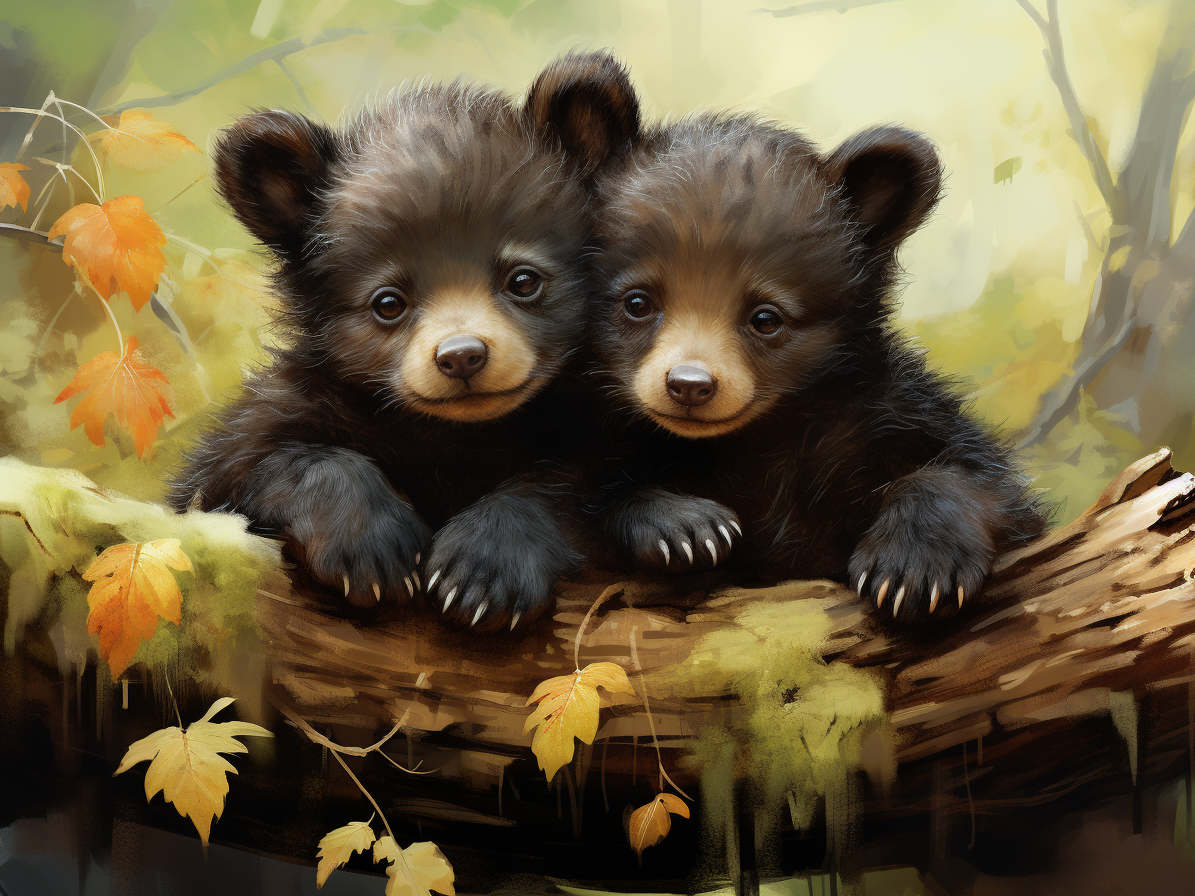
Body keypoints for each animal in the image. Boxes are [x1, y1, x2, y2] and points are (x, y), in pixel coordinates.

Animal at [169, 53, 640, 632]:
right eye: (388, 302)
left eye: (523, 280)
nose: (462, 356)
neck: (455, 436)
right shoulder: (277, 418)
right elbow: (257, 466)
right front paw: (371, 548)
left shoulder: (589, 429)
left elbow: (564, 485)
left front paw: (485, 570)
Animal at [581, 101, 1048, 623]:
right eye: (637, 302)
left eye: (766, 317)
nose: (690, 384)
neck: (749, 443)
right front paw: (685, 527)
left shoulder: (877, 416)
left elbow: (978, 477)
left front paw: (913, 567)